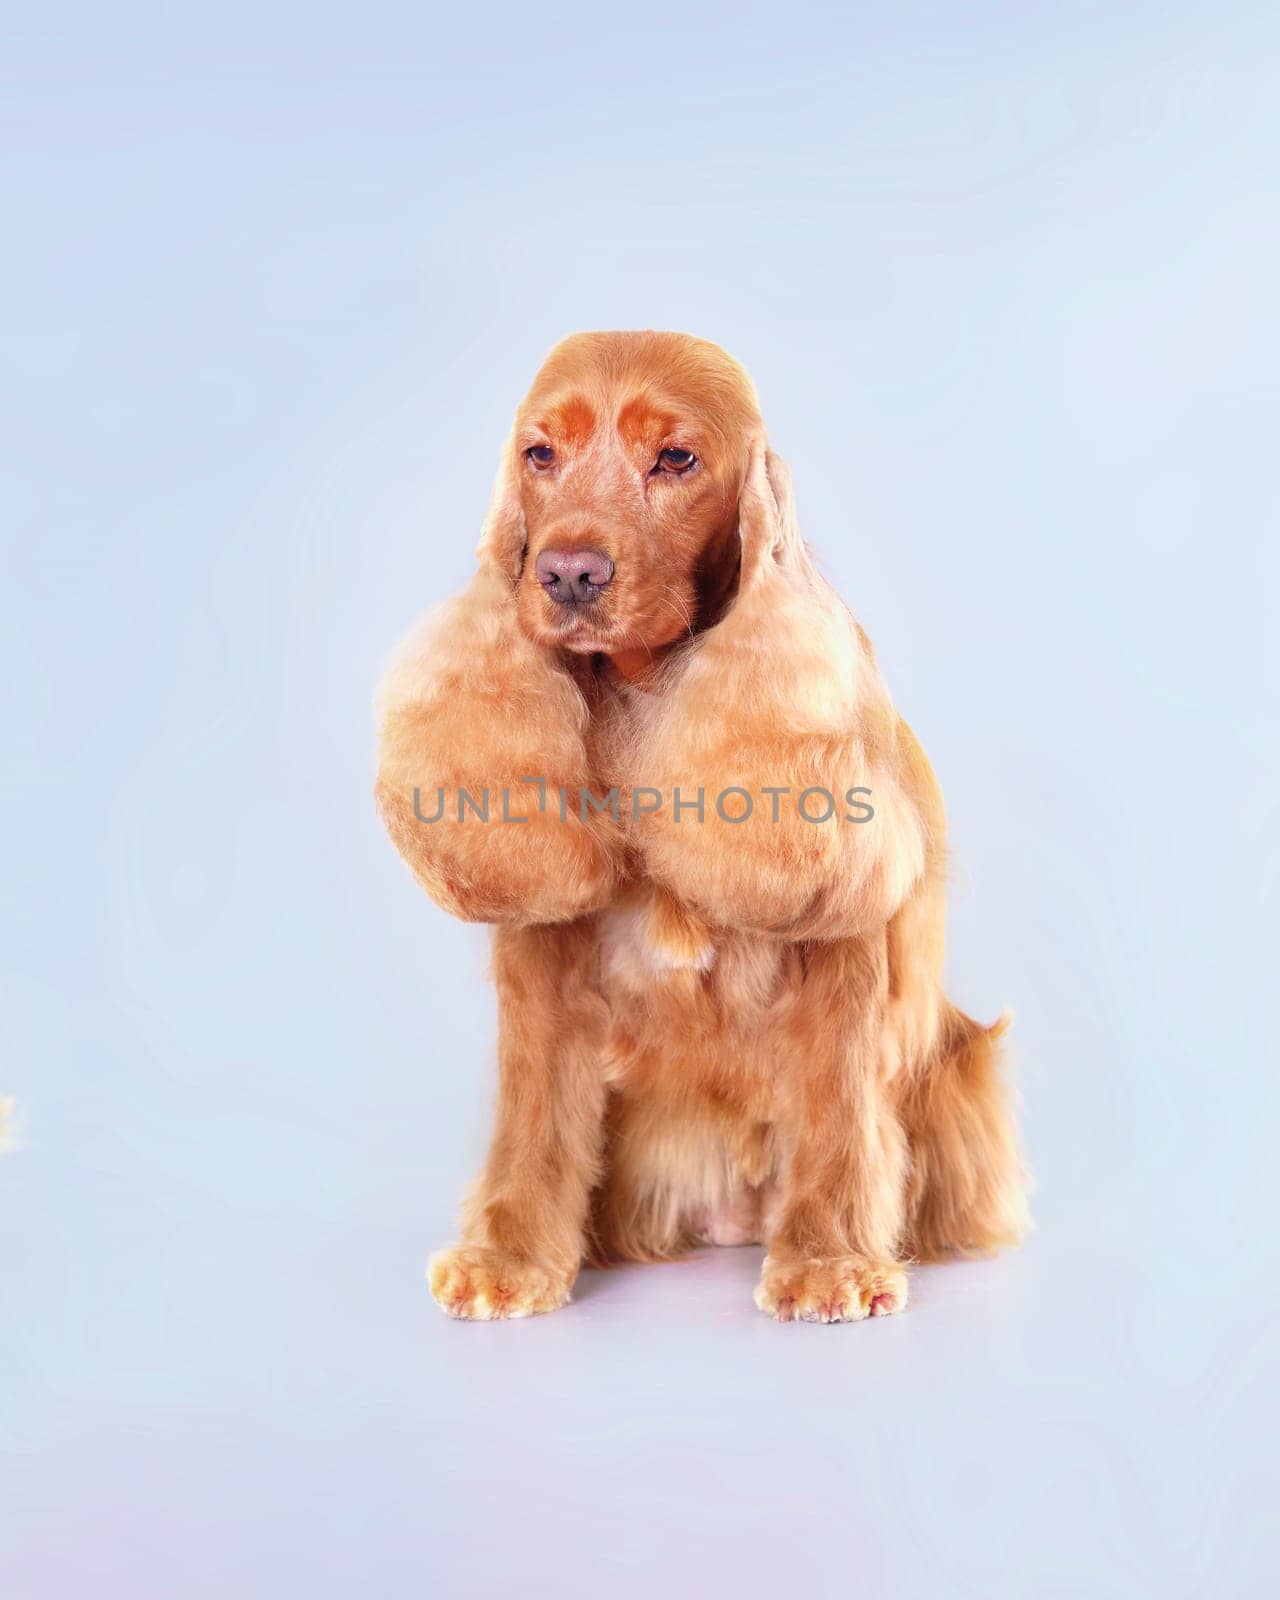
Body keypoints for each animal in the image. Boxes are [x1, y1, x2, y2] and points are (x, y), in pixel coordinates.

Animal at [374, 331, 1024, 1318]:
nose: (568, 572)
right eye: (540, 454)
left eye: (677, 459)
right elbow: (531, 1121)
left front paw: (829, 1263)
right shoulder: (541, 976)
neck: (644, 701)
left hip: (952, 1067)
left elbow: (838, 1117)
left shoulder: (842, 967)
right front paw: (509, 1258)